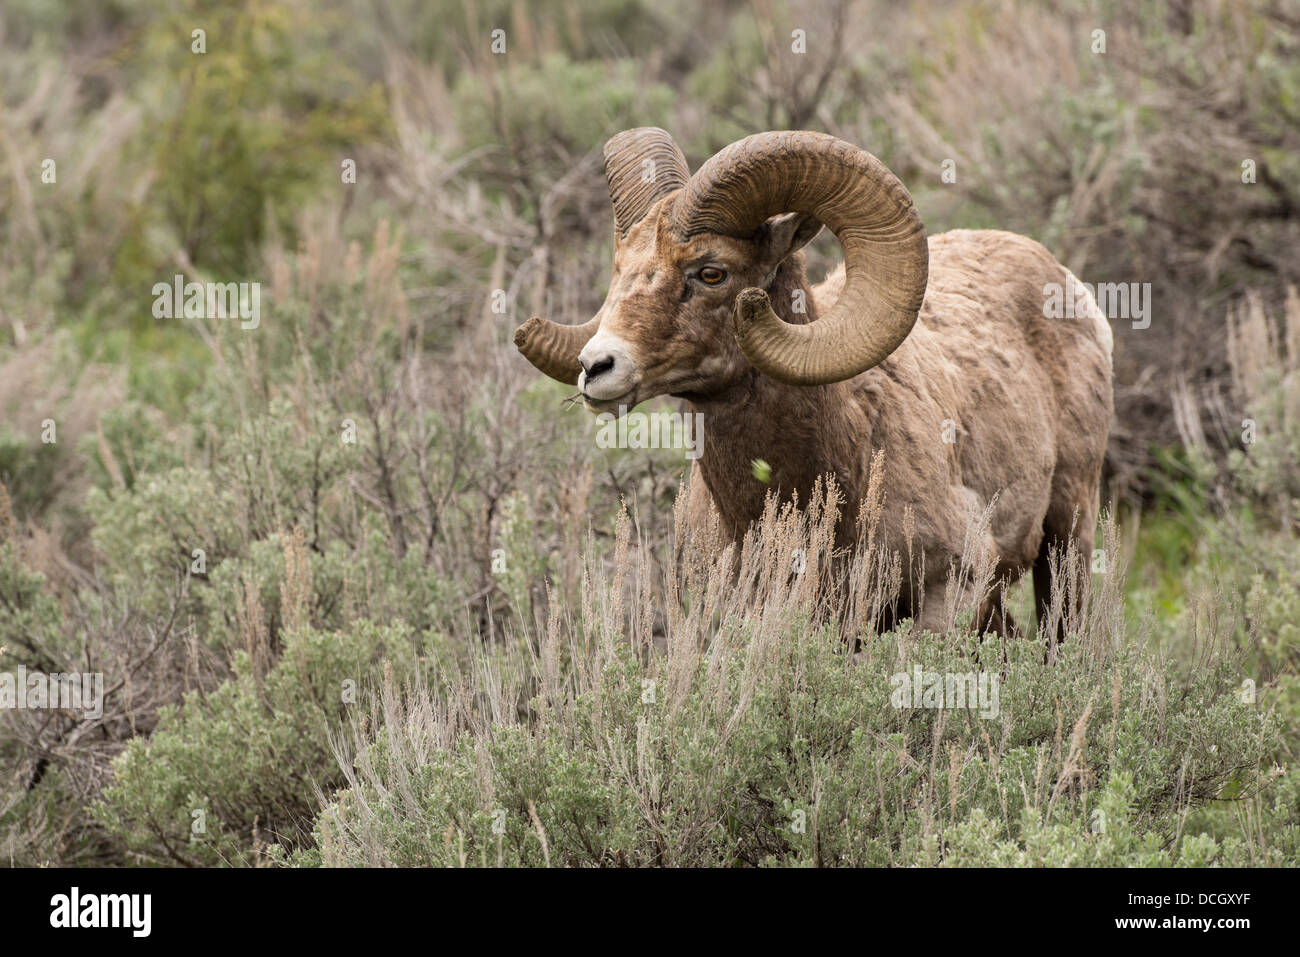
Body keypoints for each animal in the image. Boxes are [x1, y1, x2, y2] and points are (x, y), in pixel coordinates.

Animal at [514, 128, 1113, 643]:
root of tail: (1066, 285)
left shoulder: (944, 597)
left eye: (711, 272)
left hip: (1067, 538)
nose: (597, 367)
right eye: (620, 268)